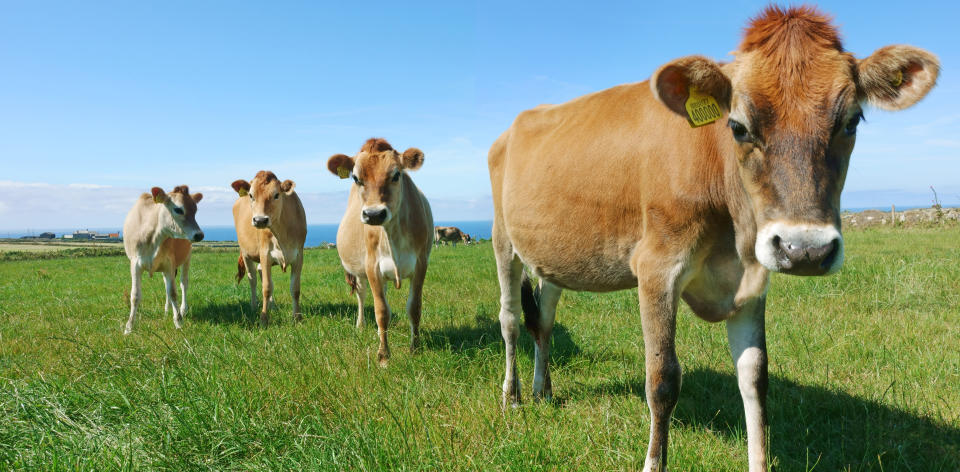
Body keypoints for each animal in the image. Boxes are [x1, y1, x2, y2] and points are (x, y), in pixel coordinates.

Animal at [122, 185, 204, 336]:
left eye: (195, 210)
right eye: (178, 209)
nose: (199, 235)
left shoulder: (169, 263)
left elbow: (173, 292)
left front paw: (178, 322)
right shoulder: (135, 264)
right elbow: (135, 295)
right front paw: (129, 327)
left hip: (187, 257)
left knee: (183, 283)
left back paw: (182, 309)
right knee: (166, 285)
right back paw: (167, 311)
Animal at [232, 171, 308, 326]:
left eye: (276, 195)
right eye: (251, 195)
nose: (260, 220)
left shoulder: (299, 256)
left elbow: (295, 289)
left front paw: (297, 317)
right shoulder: (265, 253)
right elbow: (266, 288)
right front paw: (263, 319)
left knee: (260, 272)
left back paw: (273, 306)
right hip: (246, 253)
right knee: (253, 278)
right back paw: (254, 306)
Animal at [330, 136, 436, 366]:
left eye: (396, 175)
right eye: (356, 178)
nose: (374, 214)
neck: (392, 233)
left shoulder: (421, 263)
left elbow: (414, 307)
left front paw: (415, 348)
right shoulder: (372, 267)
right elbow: (381, 311)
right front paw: (383, 355)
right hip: (359, 272)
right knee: (362, 295)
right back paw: (360, 325)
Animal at [488, 7, 936, 472]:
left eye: (852, 121)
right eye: (737, 126)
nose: (805, 250)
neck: (731, 239)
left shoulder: (753, 275)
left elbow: (755, 376)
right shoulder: (657, 267)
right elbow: (662, 378)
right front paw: (653, 462)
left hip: (553, 255)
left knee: (543, 317)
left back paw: (543, 390)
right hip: (502, 238)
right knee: (510, 318)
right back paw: (512, 397)